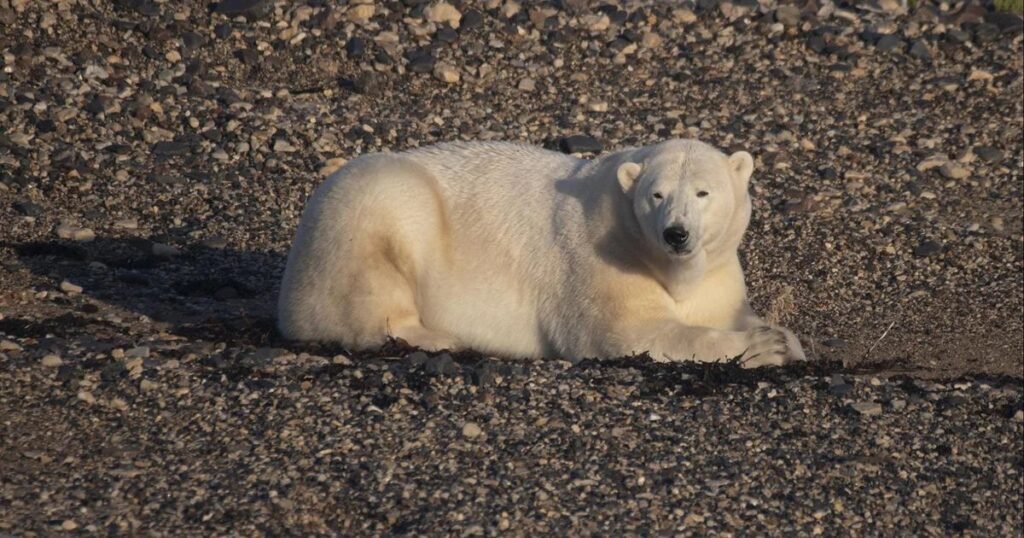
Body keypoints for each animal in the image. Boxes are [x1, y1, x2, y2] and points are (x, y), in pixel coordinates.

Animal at [278, 139, 806, 367]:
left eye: (703, 192)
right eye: (656, 194)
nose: (676, 234)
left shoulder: (717, 273)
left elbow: (723, 310)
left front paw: (783, 338)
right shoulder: (602, 260)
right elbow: (626, 332)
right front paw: (763, 348)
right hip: (368, 207)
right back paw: (441, 336)